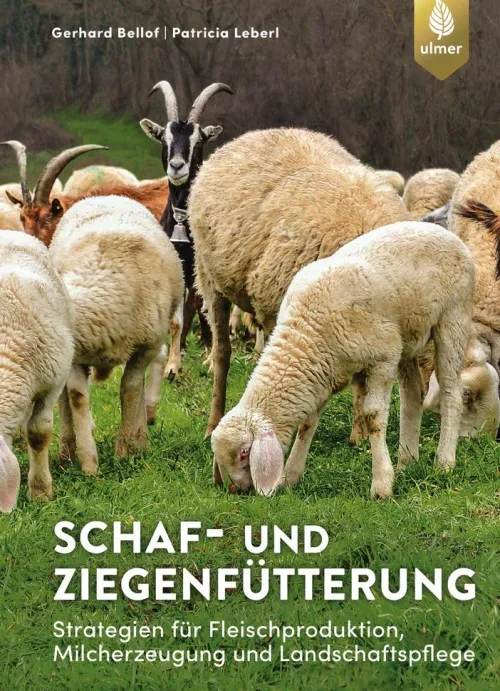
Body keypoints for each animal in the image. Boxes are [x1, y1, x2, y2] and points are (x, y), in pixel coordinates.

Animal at [49, 195, 184, 471]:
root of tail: (104, 195)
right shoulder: (76, 355)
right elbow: (76, 396)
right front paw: (89, 463)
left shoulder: (145, 347)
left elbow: (130, 389)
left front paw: (125, 449)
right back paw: (66, 450)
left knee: (139, 385)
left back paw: (141, 437)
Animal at [211, 222, 474, 498]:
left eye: (244, 452)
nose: (236, 490)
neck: (307, 333)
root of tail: (439, 229)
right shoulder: (323, 374)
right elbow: (308, 423)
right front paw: (291, 476)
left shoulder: (383, 358)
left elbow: (373, 417)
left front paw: (381, 484)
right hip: (408, 337)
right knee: (413, 395)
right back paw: (406, 461)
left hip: (453, 317)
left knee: (451, 392)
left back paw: (444, 462)